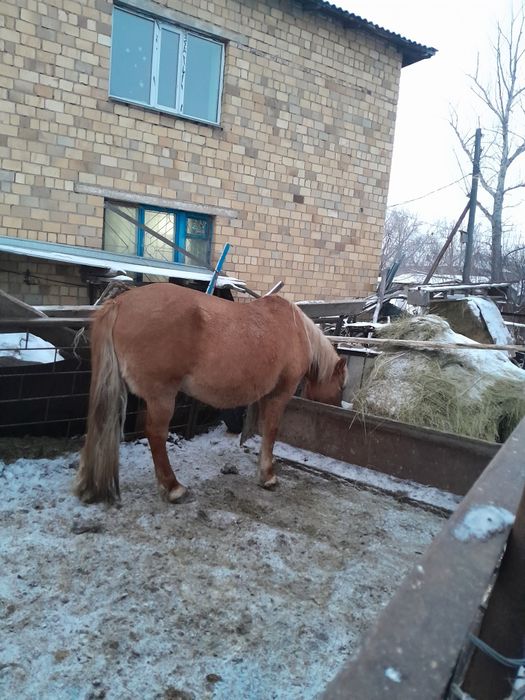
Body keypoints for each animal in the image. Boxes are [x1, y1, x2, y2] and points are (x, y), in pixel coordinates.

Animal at [74, 283, 347, 505]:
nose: (339, 408)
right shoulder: (280, 394)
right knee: (155, 434)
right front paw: (268, 476)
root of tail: (120, 302)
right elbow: (271, 431)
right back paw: (173, 488)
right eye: (341, 385)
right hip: (161, 397)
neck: (295, 329)